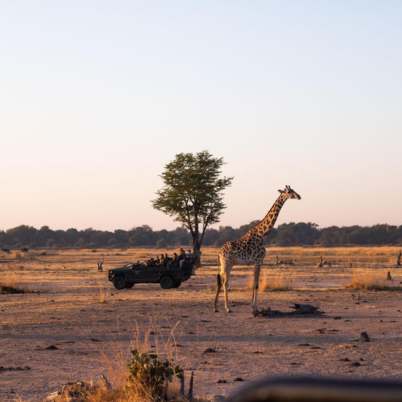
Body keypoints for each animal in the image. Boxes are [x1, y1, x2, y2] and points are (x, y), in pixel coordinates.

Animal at [215, 185, 300, 314]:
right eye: (290, 191)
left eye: (293, 190)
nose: (299, 196)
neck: (263, 234)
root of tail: (219, 252)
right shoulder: (259, 260)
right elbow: (256, 284)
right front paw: (255, 308)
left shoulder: (257, 261)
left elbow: (255, 283)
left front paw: (253, 306)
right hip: (226, 263)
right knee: (225, 282)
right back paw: (227, 308)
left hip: (227, 264)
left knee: (220, 280)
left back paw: (215, 307)